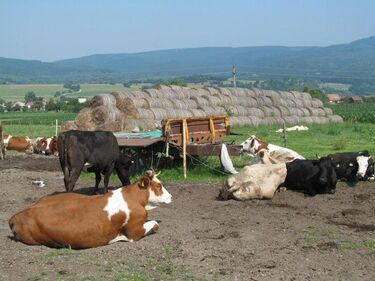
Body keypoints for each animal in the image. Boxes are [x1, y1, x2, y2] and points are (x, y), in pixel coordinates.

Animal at [8, 170, 173, 248]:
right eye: (159, 185)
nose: (171, 196)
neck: (136, 199)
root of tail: (17, 215)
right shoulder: (134, 232)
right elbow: (155, 224)